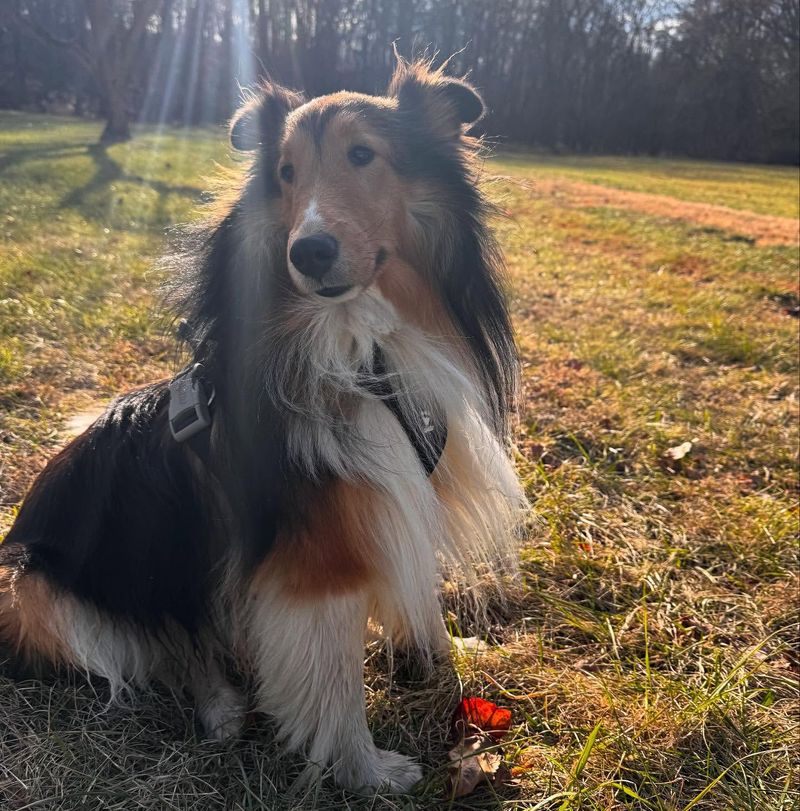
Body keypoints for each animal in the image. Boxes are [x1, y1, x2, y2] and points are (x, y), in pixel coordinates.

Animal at [0, 61, 528, 792]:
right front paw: (366, 770)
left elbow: (418, 594)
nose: (308, 252)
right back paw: (220, 705)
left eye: (362, 155)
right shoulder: (318, 560)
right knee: (160, 650)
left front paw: (440, 660)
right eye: (285, 172)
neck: (360, 352)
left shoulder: (395, 496)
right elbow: (334, 681)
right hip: (36, 589)